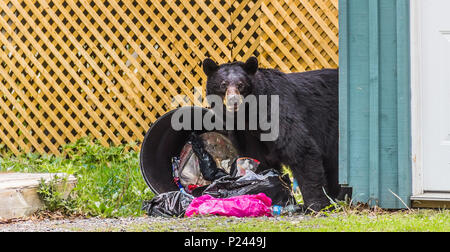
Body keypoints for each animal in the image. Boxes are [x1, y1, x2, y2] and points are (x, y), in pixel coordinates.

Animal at [203, 56, 342, 211]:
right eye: (223, 84)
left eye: (241, 85)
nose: (234, 101)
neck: (250, 116)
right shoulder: (245, 134)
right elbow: (258, 158)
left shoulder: (278, 111)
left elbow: (300, 149)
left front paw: (317, 204)